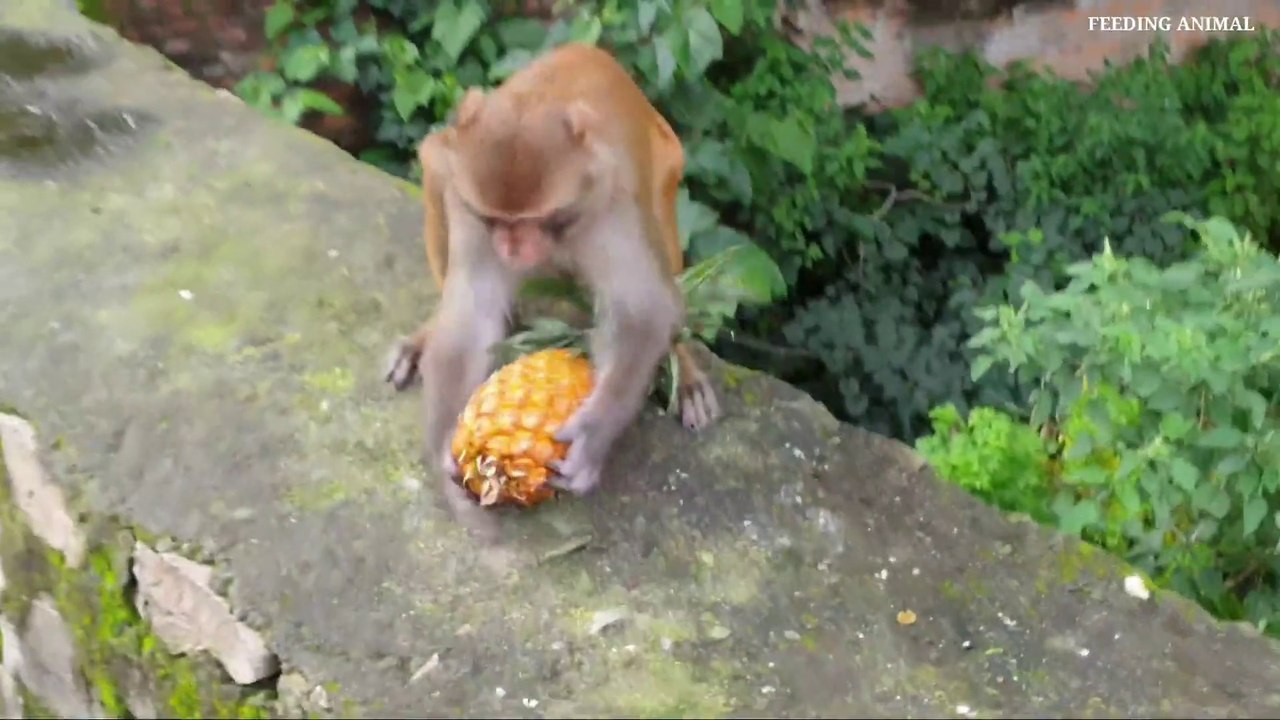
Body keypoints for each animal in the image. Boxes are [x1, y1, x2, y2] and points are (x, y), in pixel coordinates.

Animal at [382, 43, 722, 532]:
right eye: (495, 220)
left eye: (532, 220)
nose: (511, 248)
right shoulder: (468, 202)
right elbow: (471, 314)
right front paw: (447, 440)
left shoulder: (612, 195)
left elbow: (643, 311)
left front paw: (594, 432)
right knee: (435, 162)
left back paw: (684, 370)